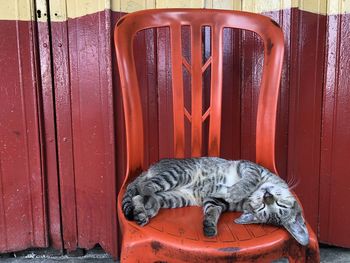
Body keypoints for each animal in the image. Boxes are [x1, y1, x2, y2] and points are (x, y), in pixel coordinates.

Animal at [122, 158, 308, 246]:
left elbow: (212, 210)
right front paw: (236, 191)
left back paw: (144, 211)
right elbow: (250, 179)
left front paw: (209, 225)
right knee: (144, 186)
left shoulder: (216, 200)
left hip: (175, 197)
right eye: (264, 206)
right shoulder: (249, 166)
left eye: (276, 206)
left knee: (139, 196)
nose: (267, 196)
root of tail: (150, 168)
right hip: (179, 174)